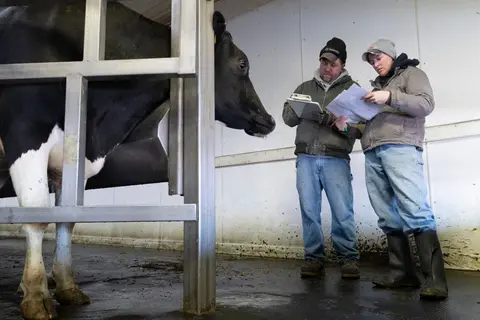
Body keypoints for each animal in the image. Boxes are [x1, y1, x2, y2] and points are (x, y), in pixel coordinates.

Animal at [0, 1, 276, 318]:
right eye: (242, 64)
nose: (270, 120)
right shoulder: (26, 135)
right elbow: (36, 217)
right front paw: (36, 294)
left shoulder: (72, 161)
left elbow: (67, 220)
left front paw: (67, 286)